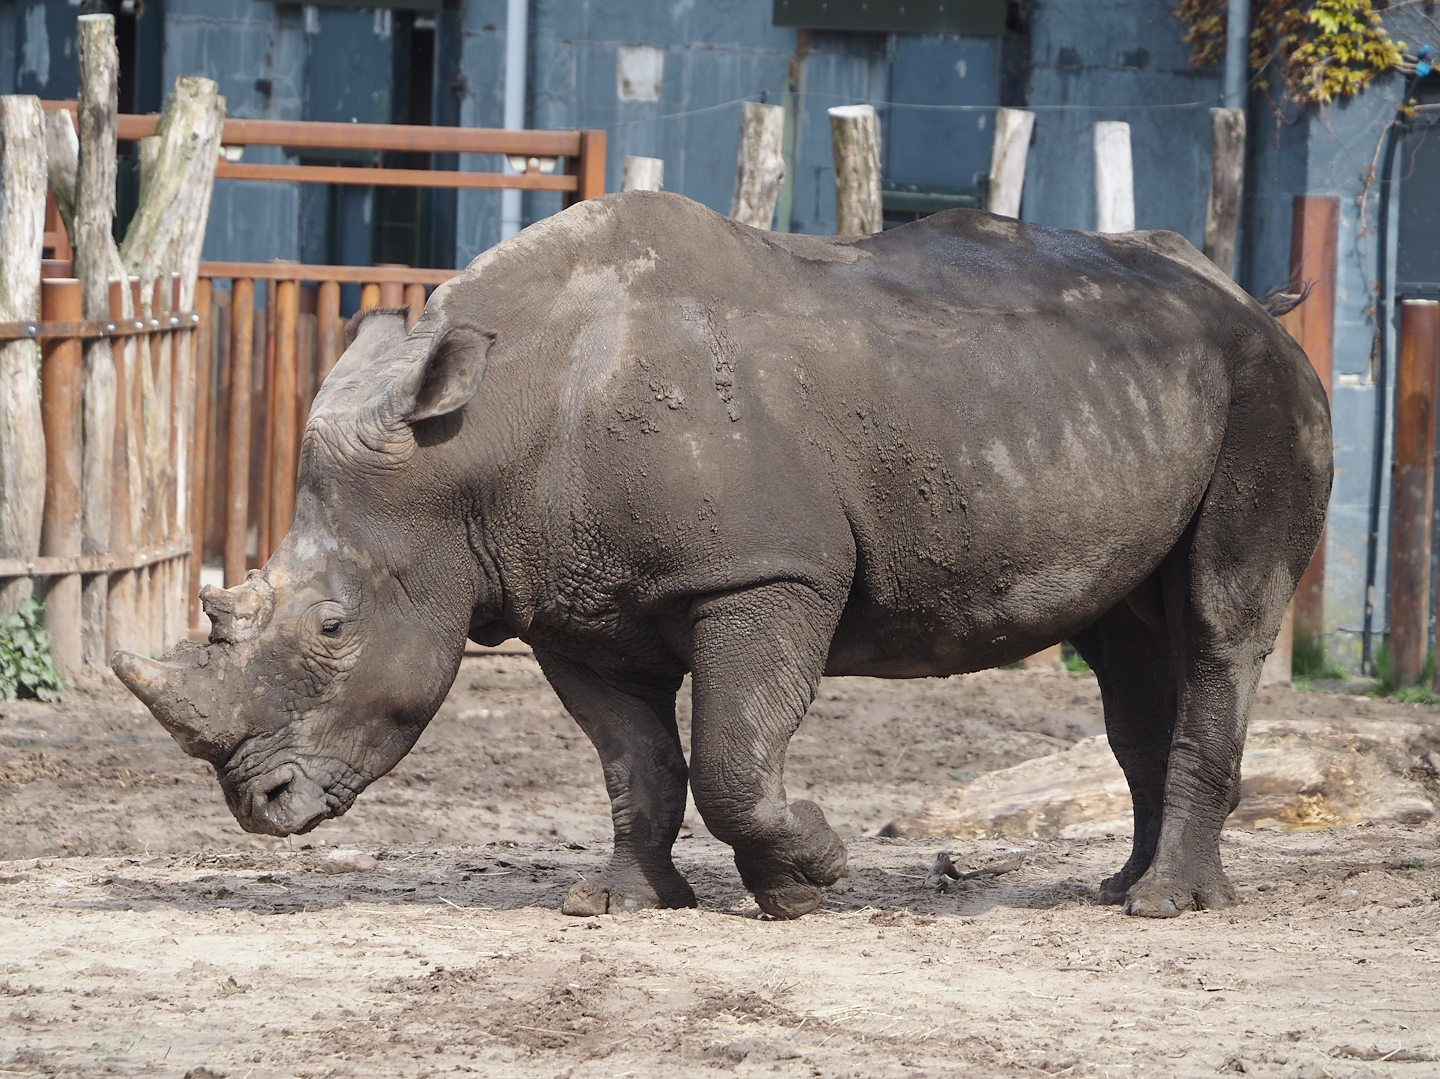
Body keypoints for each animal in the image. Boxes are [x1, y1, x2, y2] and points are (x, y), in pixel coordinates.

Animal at [113, 192, 1331, 920]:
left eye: (333, 626)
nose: (259, 806)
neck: (480, 438)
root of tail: (1248, 301)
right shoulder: (570, 603)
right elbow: (638, 762)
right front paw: (625, 904)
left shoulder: (764, 571)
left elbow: (734, 751)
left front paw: (809, 878)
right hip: (1117, 399)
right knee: (1127, 645)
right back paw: (1119, 886)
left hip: (1265, 392)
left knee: (1221, 621)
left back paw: (1165, 905)